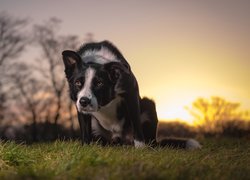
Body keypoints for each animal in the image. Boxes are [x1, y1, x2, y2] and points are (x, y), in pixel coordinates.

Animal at [62, 40, 201, 149]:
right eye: (78, 83)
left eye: (99, 83)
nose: (84, 101)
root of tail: (120, 139)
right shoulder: (78, 103)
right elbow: (85, 129)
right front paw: (86, 147)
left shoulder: (131, 92)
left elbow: (136, 122)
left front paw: (140, 148)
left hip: (148, 104)